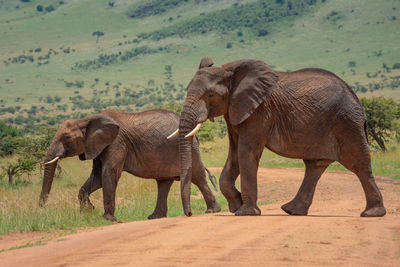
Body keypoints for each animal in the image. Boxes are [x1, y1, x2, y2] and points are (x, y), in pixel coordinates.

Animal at [39, 109, 222, 222]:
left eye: (67, 138)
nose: (41, 208)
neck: (86, 119)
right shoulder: (98, 146)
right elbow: (97, 178)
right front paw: (88, 211)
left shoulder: (116, 142)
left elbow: (109, 174)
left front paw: (108, 219)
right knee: (163, 182)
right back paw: (154, 217)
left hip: (190, 148)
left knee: (198, 176)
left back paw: (212, 211)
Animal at [168, 57, 384, 219]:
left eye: (211, 94)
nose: (188, 214)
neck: (230, 70)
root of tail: (358, 101)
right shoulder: (235, 110)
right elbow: (234, 154)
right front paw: (237, 205)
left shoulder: (259, 112)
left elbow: (246, 152)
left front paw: (245, 213)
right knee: (315, 166)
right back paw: (292, 211)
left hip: (347, 123)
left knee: (358, 164)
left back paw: (372, 214)